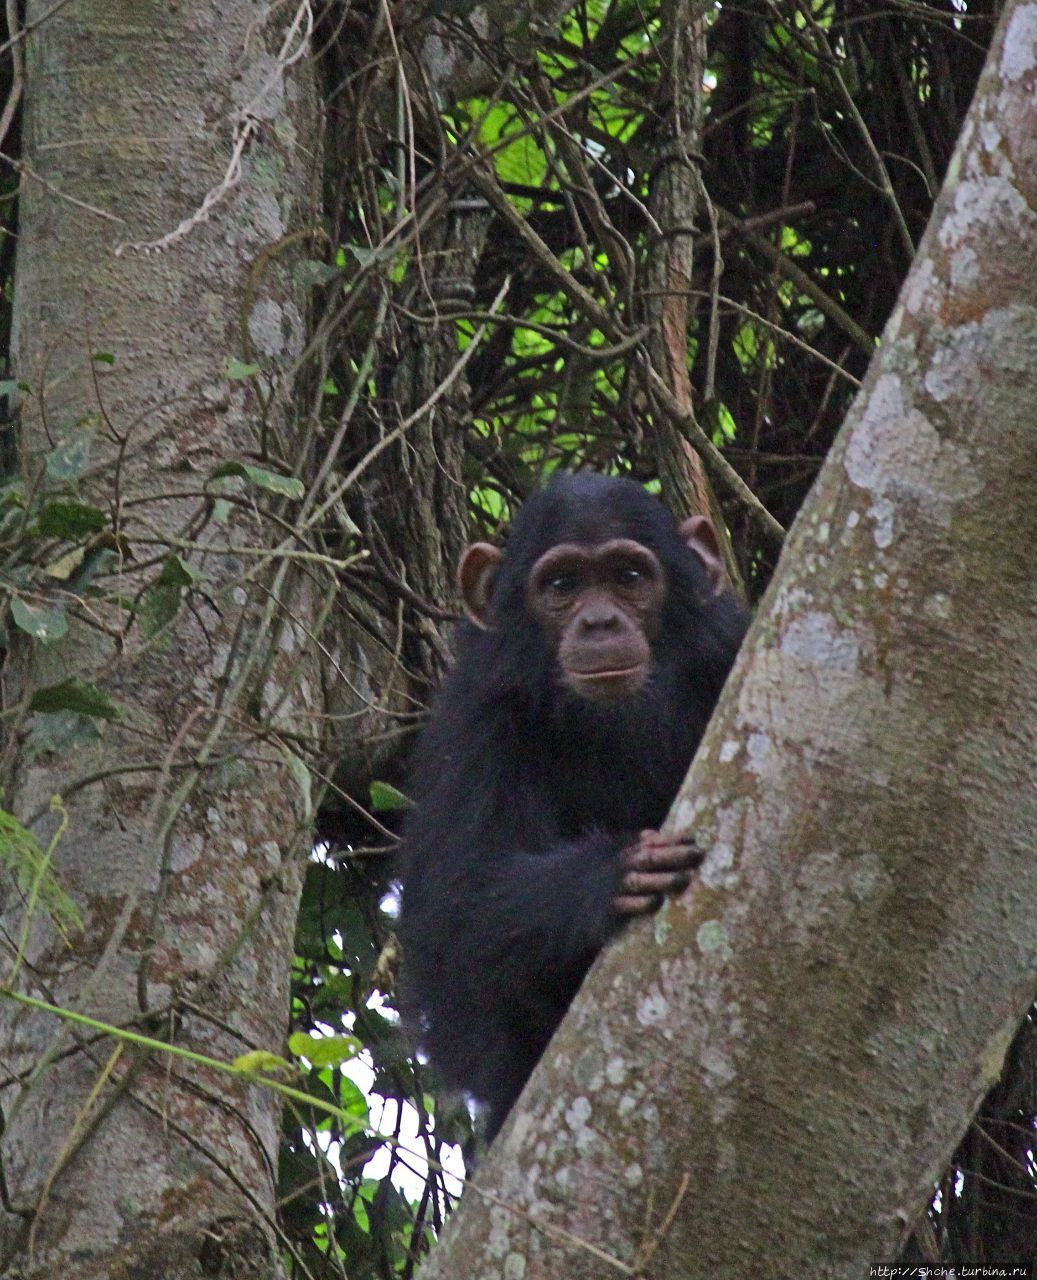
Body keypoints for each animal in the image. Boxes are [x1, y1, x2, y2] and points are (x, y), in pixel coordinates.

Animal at [396, 471, 742, 1141]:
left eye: (628, 577)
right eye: (561, 586)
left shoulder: (731, 648)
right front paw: (615, 870)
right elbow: (451, 907)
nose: (599, 621)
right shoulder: (475, 720)